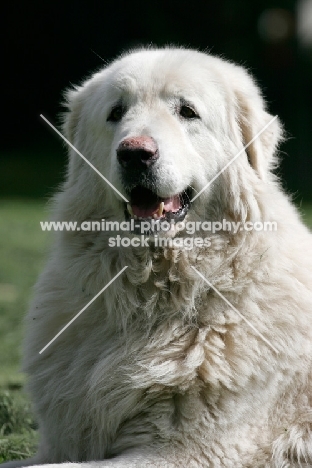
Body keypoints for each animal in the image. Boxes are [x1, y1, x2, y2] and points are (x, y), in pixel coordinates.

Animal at [3, 48, 312, 468]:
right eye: (116, 112)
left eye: (187, 111)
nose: (135, 153)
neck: (150, 297)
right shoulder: (58, 444)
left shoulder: (184, 452)